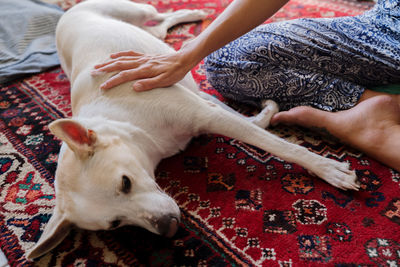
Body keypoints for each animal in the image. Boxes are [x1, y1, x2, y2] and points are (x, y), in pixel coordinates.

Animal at [27, 0, 360, 260]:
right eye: (115, 224)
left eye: (125, 183)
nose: (168, 227)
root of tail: (64, 16)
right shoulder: (205, 107)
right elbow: (255, 124)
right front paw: (269, 113)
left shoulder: (204, 112)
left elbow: (279, 145)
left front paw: (328, 168)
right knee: (159, 29)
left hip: (135, 10)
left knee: (159, 16)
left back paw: (193, 14)